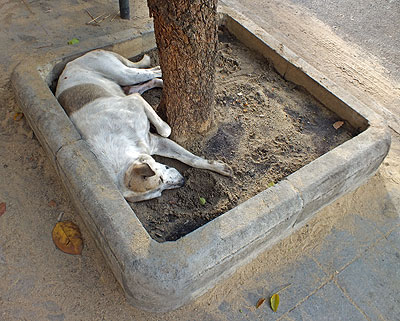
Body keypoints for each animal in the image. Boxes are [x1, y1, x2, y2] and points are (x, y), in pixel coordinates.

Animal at [55, 49, 233, 200]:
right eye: (159, 191)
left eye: (160, 178)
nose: (182, 181)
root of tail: (73, 61)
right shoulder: (155, 143)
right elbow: (190, 159)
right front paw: (219, 167)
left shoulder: (136, 105)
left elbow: (167, 132)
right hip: (127, 83)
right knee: (144, 83)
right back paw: (162, 81)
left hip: (124, 74)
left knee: (149, 73)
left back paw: (163, 72)